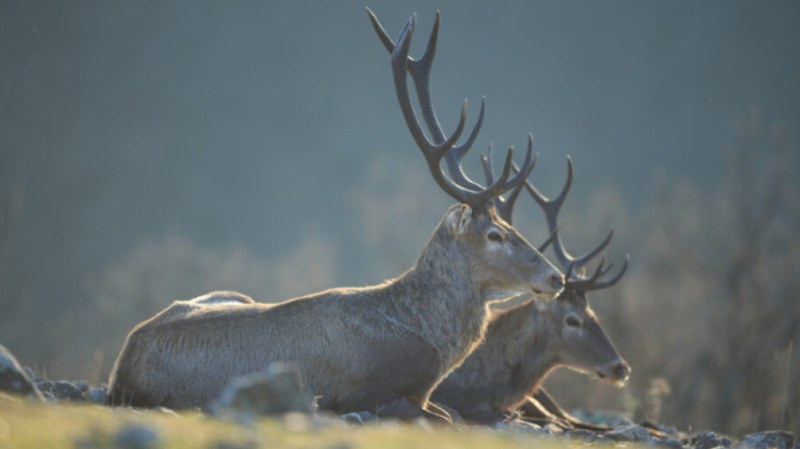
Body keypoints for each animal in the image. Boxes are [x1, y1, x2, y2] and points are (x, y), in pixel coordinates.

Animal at [108, 11, 564, 420]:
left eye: (509, 227)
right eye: (494, 235)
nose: (555, 277)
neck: (428, 342)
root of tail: (120, 365)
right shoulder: (364, 393)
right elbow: (445, 416)